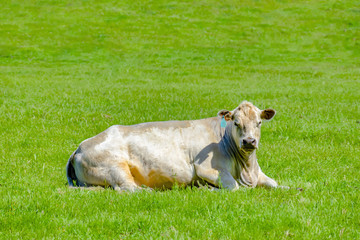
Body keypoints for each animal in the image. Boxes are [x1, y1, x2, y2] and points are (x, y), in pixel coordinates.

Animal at [67, 101, 282, 191]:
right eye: (236, 123)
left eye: (259, 123)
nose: (249, 141)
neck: (246, 168)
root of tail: (80, 147)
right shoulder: (207, 169)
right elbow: (235, 187)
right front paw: (205, 189)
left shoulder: (259, 174)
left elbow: (277, 185)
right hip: (114, 168)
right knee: (127, 188)